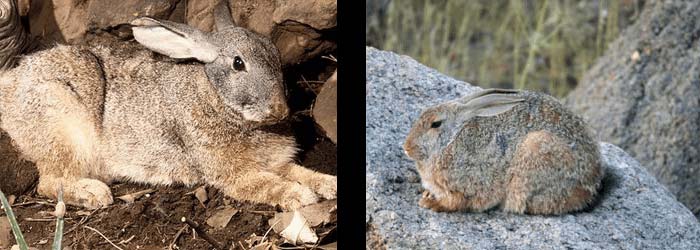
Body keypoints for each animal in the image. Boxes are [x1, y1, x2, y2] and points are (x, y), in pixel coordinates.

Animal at [0, 4, 336, 211]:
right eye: (238, 63)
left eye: (275, 55)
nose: (279, 110)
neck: (216, 98)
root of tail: (9, 89)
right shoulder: (233, 173)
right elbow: (265, 184)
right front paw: (299, 195)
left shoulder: (278, 162)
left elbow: (300, 171)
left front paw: (329, 185)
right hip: (63, 124)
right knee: (49, 183)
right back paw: (94, 193)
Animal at [402, 88, 604, 215]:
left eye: (435, 124)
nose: (406, 148)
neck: (451, 139)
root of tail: (592, 183)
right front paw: (427, 195)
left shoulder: (470, 184)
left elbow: (459, 202)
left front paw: (431, 203)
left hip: (536, 153)